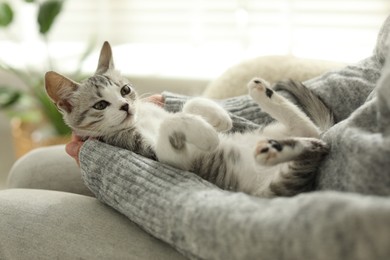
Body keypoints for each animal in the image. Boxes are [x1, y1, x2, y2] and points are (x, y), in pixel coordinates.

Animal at [45, 41, 332, 197]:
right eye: (101, 105)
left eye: (124, 90)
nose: (126, 106)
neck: (139, 120)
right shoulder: (164, 156)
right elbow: (171, 124)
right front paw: (207, 135)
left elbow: (188, 106)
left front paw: (219, 119)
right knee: (314, 140)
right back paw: (271, 146)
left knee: (310, 131)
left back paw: (263, 94)